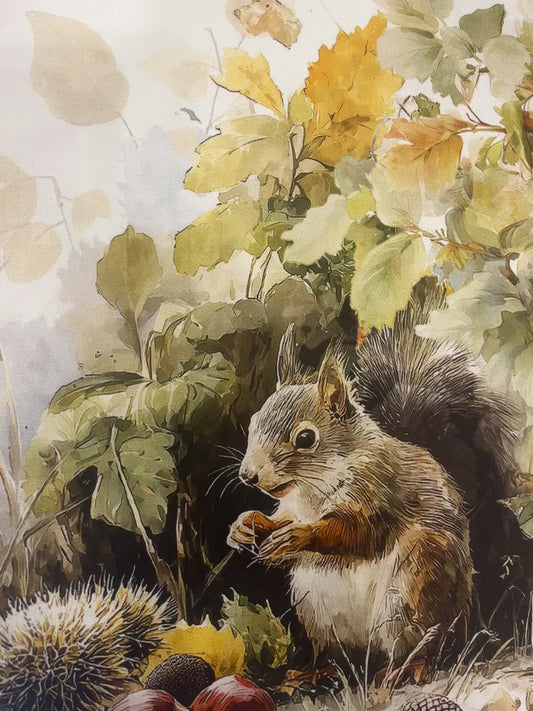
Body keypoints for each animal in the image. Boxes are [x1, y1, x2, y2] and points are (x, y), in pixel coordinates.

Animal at [227, 278, 528, 663]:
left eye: (306, 438)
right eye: (254, 422)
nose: (248, 475)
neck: (313, 488)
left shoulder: (380, 493)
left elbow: (355, 533)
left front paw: (298, 536)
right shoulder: (292, 507)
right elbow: (278, 520)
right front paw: (245, 525)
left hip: (415, 583)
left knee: (416, 648)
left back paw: (400, 670)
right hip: (318, 611)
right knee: (339, 654)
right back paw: (316, 670)